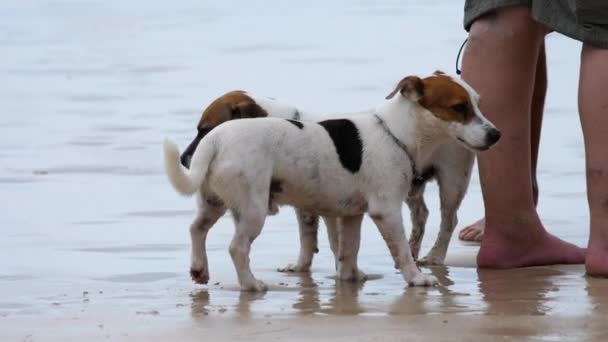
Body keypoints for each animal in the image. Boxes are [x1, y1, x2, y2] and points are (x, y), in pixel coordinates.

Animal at [163, 73, 498, 292]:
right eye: (459, 107)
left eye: (477, 103)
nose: (496, 135)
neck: (395, 132)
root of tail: (216, 141)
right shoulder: (385, 211)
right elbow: (399, 250)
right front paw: (415, 279)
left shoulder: (349, 215)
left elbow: (347, 250)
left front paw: (350, 278)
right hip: (252, 209)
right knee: (237, 247)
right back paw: (251, 284)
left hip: (214, 202)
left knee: (196, 228)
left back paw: (199, 268)